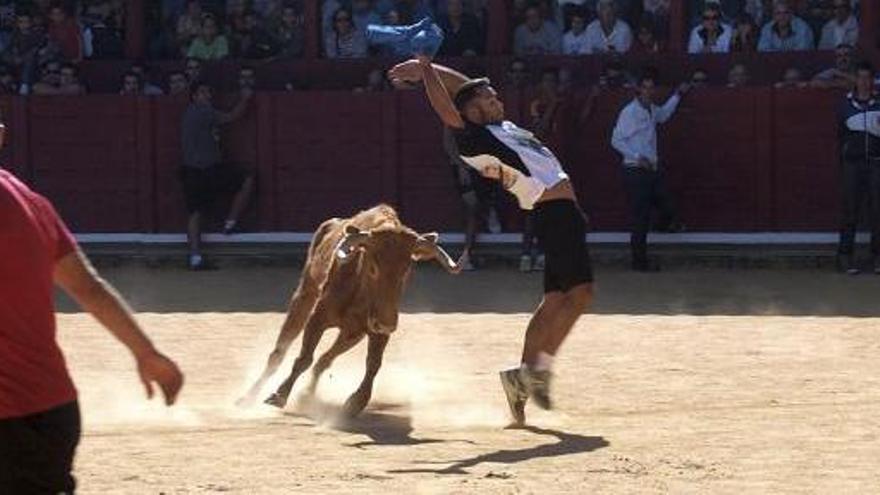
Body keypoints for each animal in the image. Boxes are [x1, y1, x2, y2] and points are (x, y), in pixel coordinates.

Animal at [237, 203, 464, 416]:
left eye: (407, 269)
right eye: (373, 267)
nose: (386, 323)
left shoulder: (376, 330)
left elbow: (373, 365)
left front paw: (356, 403)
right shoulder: (317, 318)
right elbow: (304, 358)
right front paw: (279, 395)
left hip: (352, 333)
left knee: (325, 359)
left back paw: (307, 396)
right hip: (304, 297)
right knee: (279, 353)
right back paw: (247, 398)